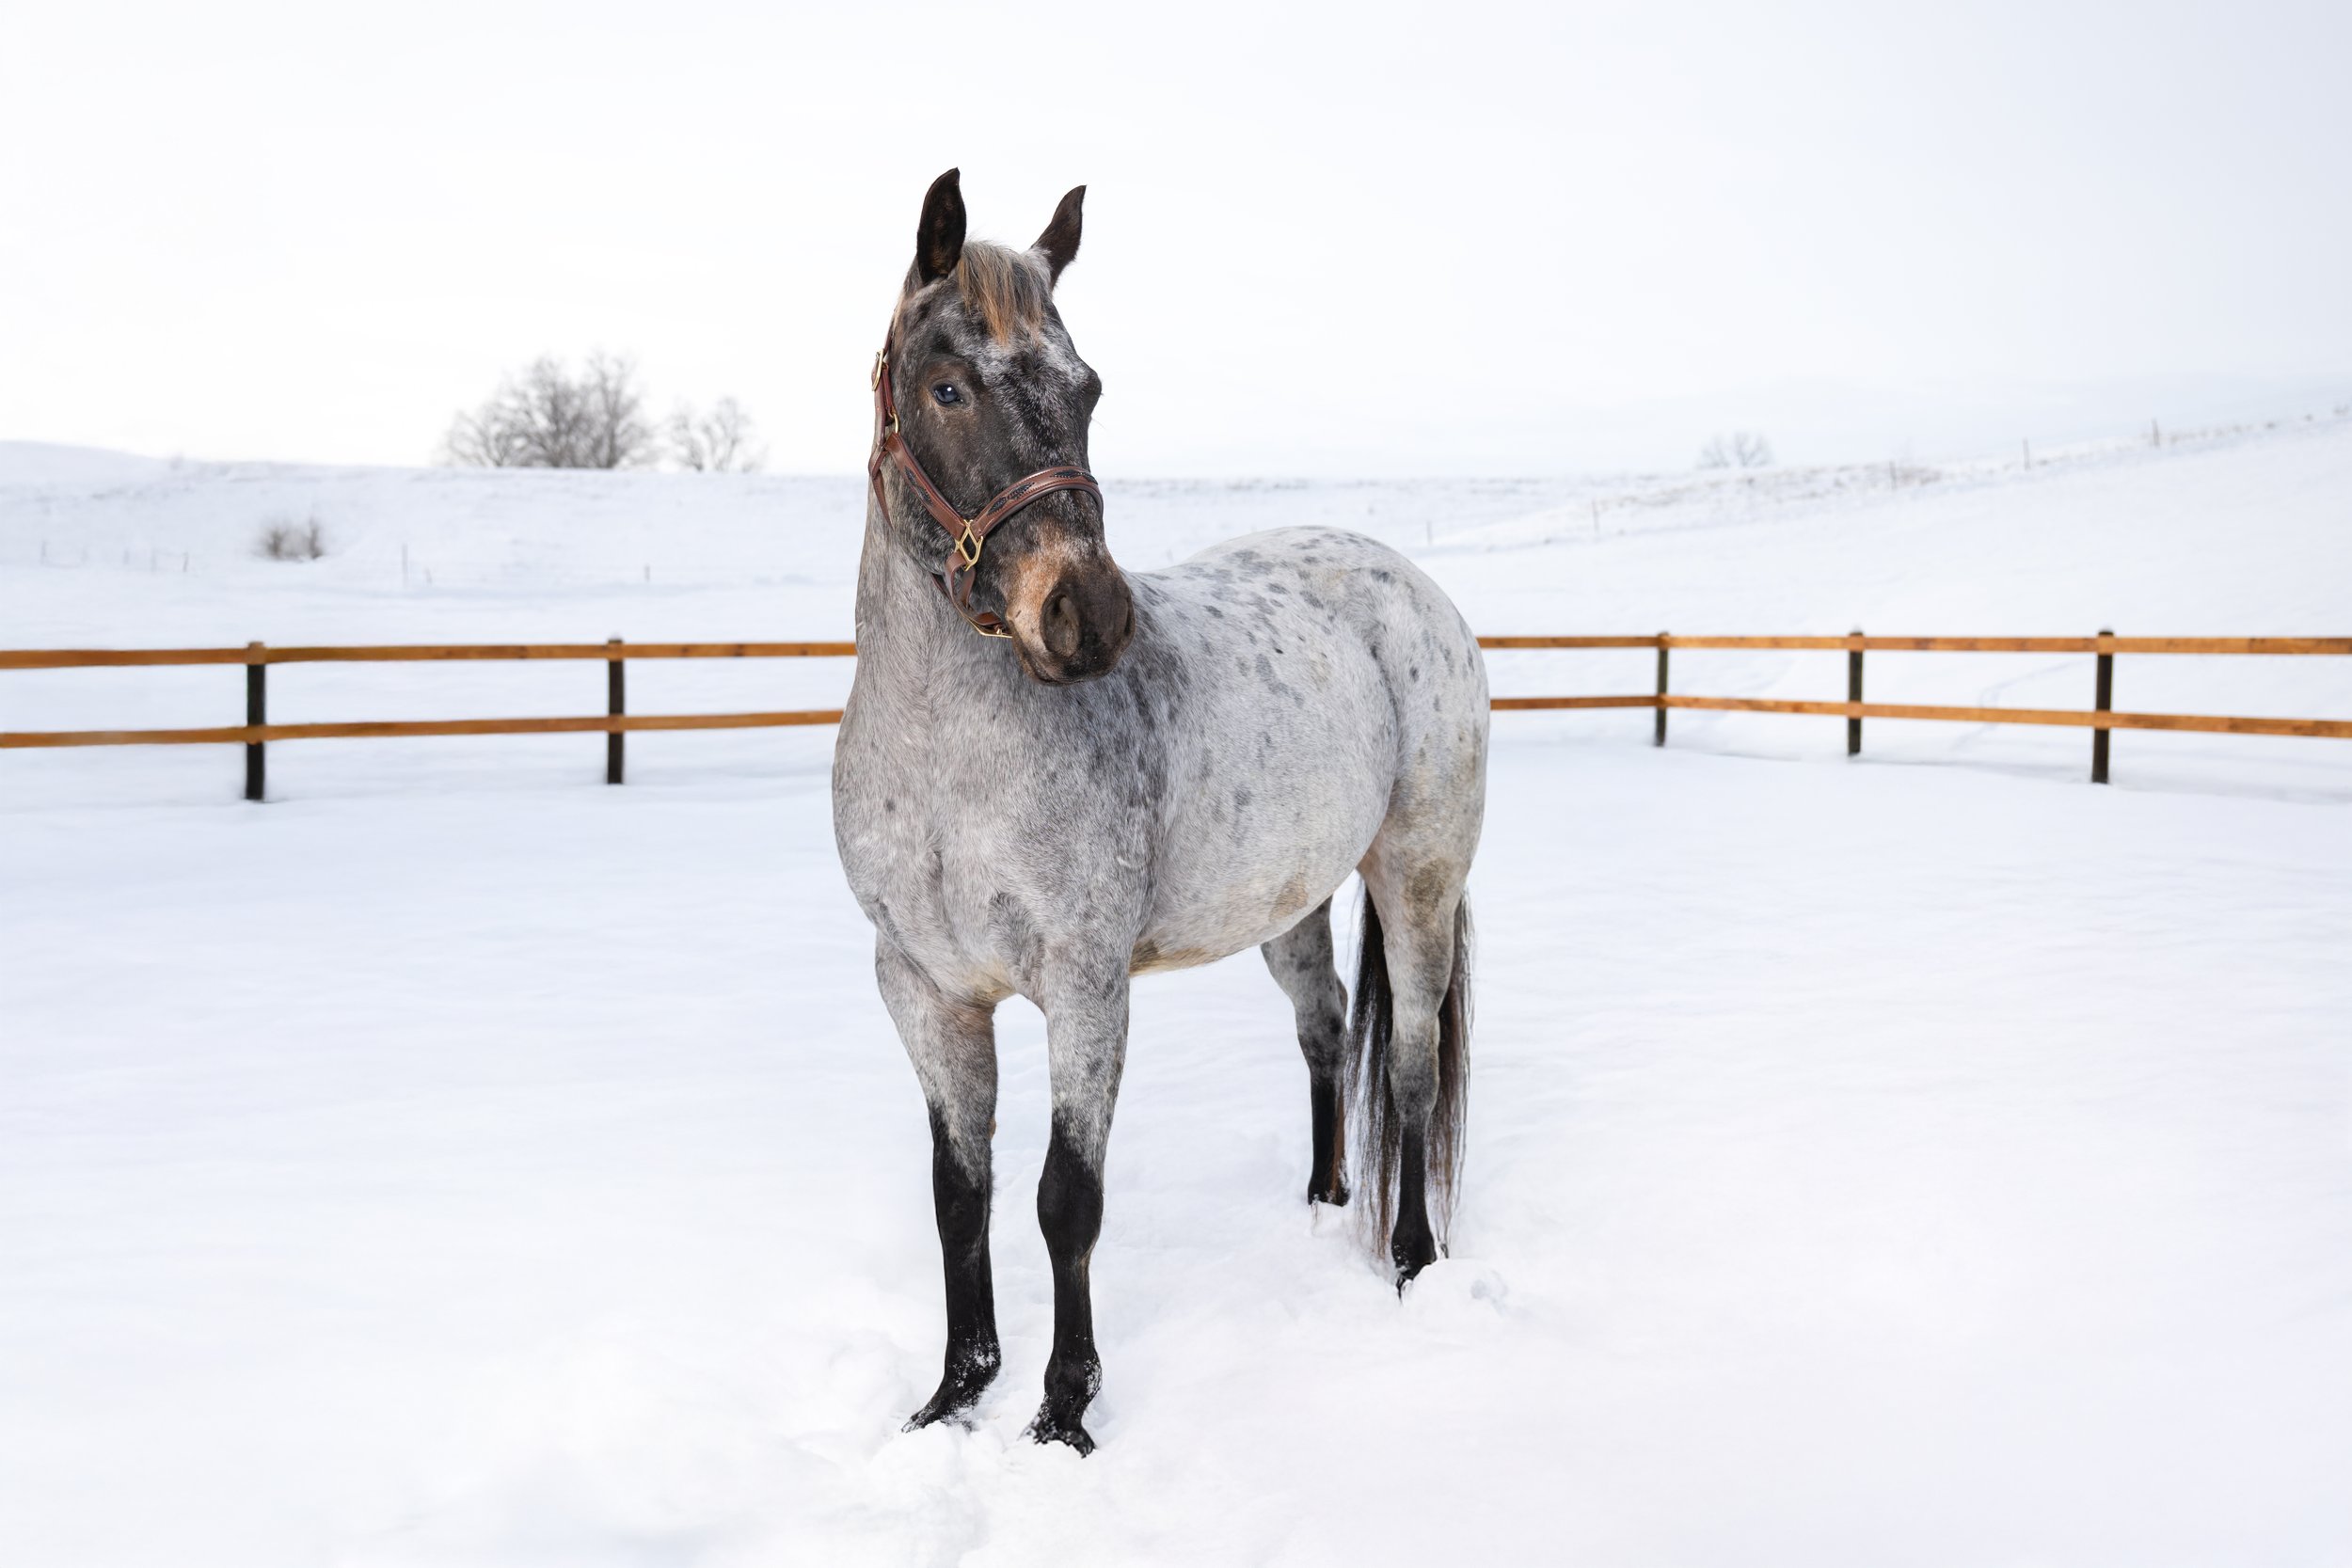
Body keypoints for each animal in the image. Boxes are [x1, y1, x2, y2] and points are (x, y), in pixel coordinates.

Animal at [831, 170, 1488, 1453]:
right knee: (1325, 1028)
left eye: (1086, 387)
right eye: (946, 386)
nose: (1086, 616)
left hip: (1418, 880)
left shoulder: (1084, 986)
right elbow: (960, 1195)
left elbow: (1063, 1198)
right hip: (1289, 904)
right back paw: (1323, 1198)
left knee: (1411, 1067)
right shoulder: (925, 989)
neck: (946, 767)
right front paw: (954, 1394)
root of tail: (1409, 587)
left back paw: (1408, 1259)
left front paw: (1061, 1412)